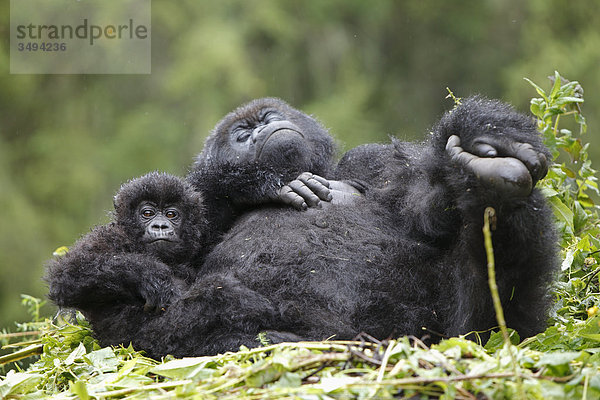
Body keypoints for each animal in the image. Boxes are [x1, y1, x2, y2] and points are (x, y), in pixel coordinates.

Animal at [62, 97, 556, 360]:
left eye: (264, 118)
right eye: (239, 134)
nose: (259, 130)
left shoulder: (369, 160)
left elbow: (425, 209)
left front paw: (482, 129)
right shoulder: (187, 221)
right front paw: (260, 184)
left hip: (462, 335)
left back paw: (492, 177)